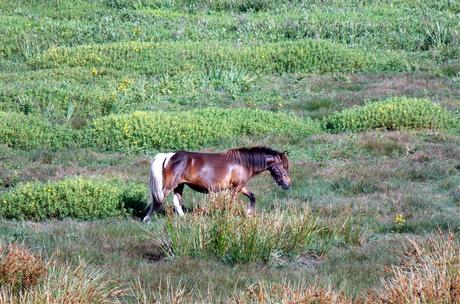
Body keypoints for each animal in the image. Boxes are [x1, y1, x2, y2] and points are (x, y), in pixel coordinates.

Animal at [143, 146, 292, 222]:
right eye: (284, 168)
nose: (288, 185)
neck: (243, 163)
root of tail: (170, 155)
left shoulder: (241, 187)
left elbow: (252, 197)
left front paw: (248, 213)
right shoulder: (236, 188)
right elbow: (232, 203)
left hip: (179, 185)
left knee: (176, 202)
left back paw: (184, 218)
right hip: (169, 186)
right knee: (158, 199)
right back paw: (147, 219)